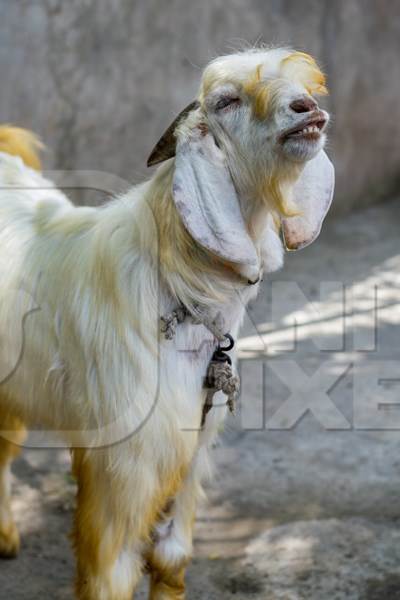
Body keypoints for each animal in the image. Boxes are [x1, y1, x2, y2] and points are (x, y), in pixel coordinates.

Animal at [0, 48, 332, 600]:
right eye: (226, 100)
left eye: (304, 86)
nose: (307, 109)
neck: (178, 281)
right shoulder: (123, 463)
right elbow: (112, 572)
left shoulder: (194, 439)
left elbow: (171, 559)